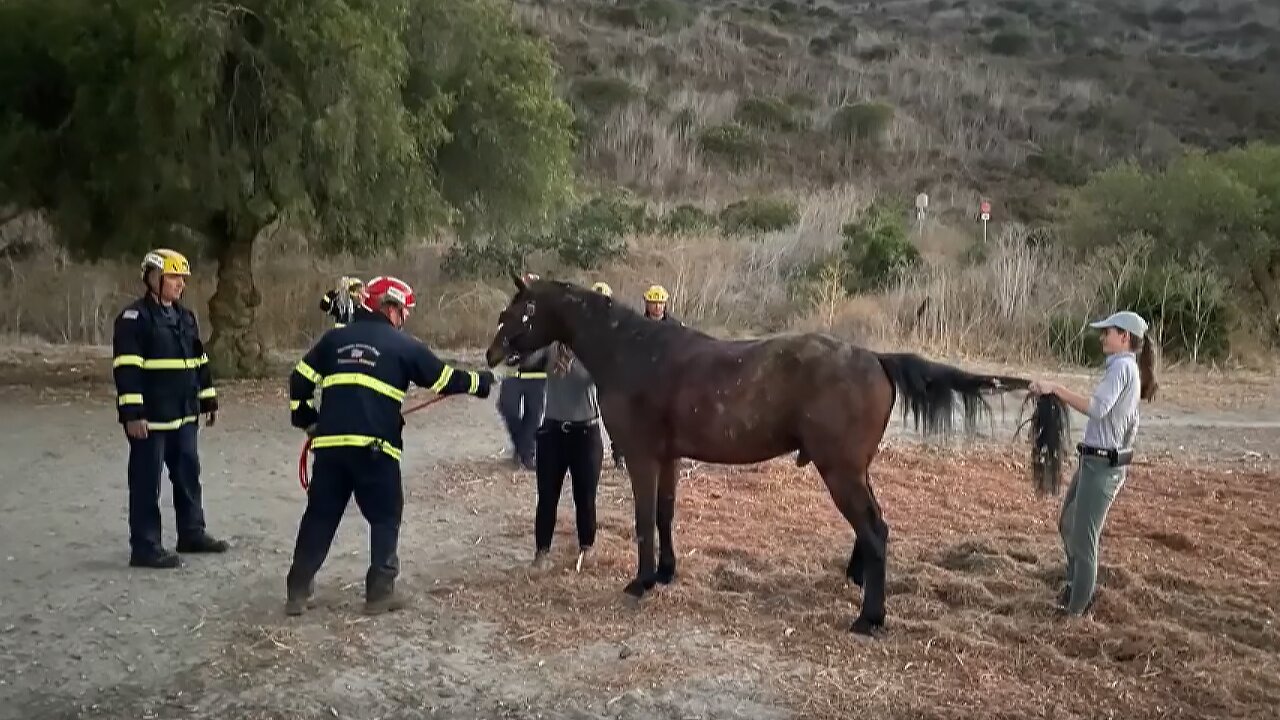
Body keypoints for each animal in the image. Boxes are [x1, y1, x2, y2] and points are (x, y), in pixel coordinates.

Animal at [483, 272, 1064, 632]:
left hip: (840, 471)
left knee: (875, 530)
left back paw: (869, 618)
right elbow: (666, 516)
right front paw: (666, 573)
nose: (491, 353)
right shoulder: (668, 459)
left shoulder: (644, 458)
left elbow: (645, 519)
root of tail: (875, 359)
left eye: (520, 308)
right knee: (871, 529)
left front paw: (641, 581)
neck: (636, 352)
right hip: (853, 470)